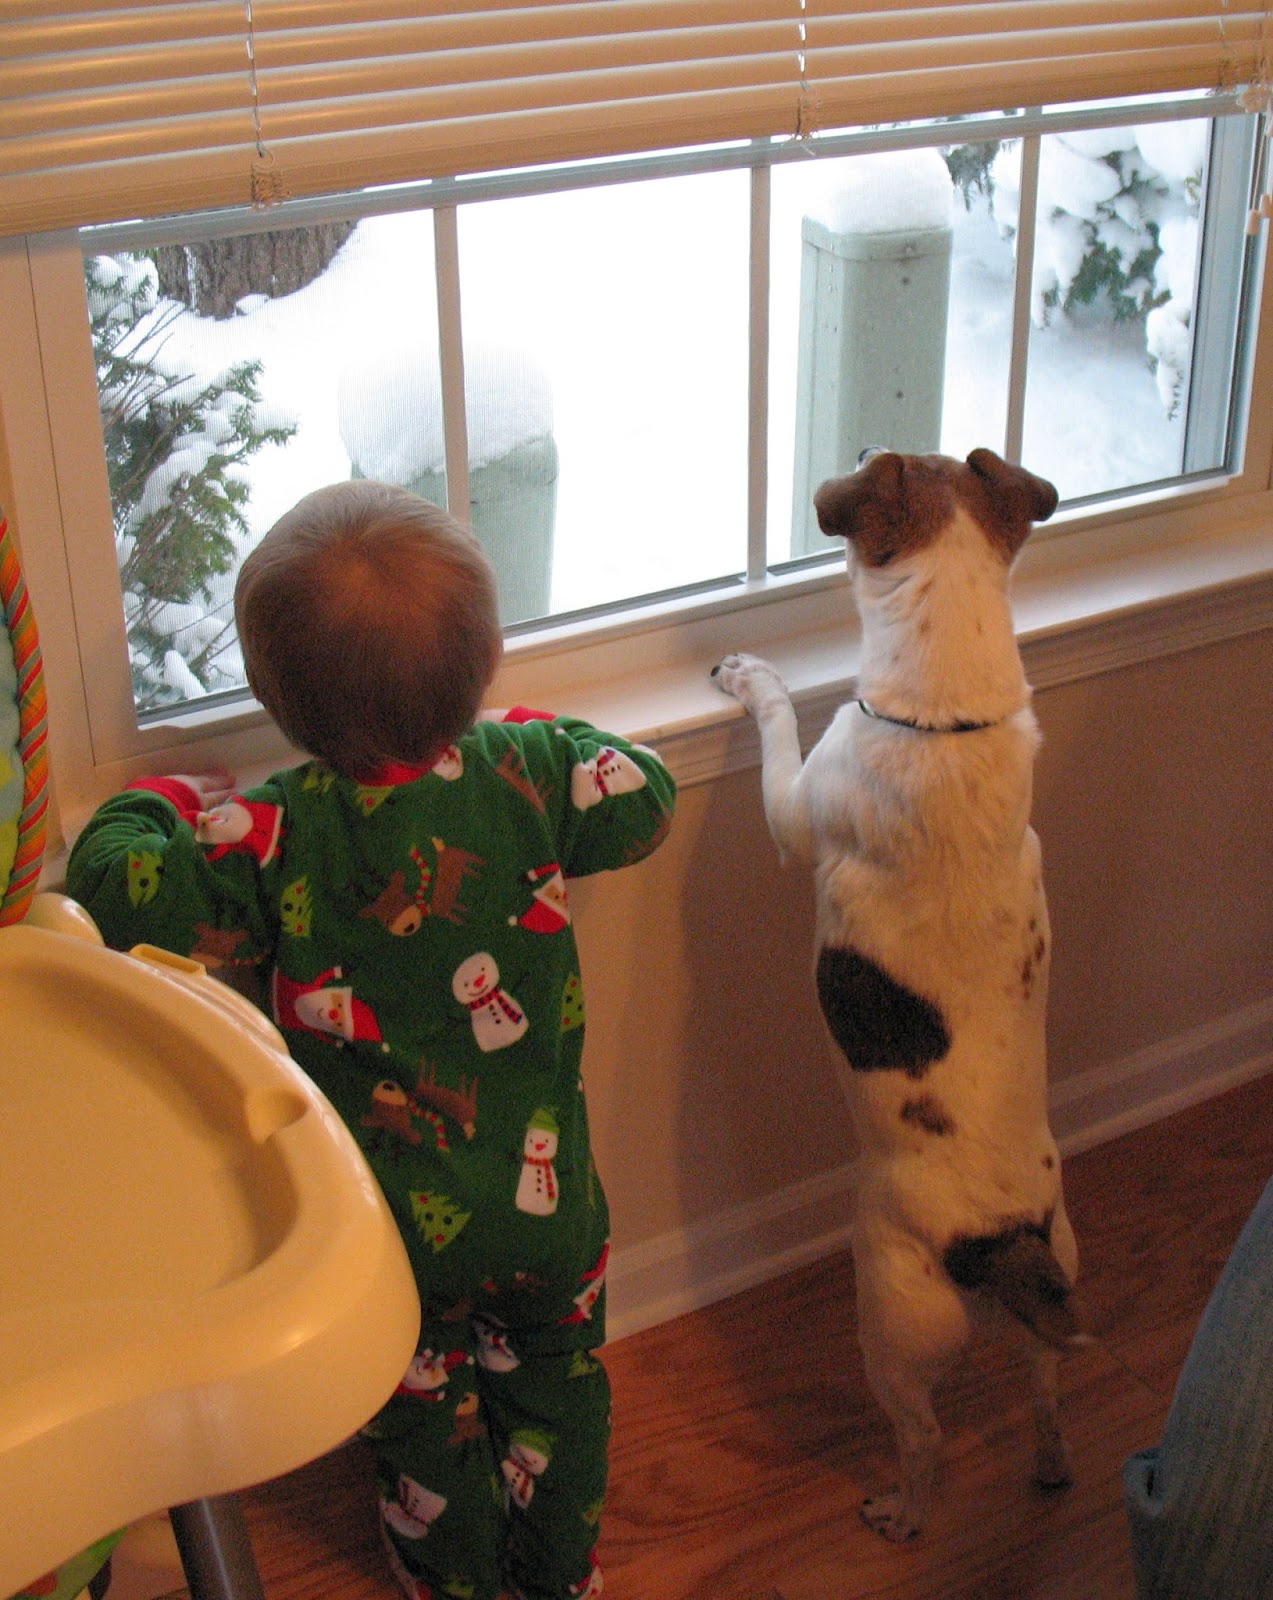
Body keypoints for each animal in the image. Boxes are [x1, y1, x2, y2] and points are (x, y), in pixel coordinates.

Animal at [713, 447, 1086, 1542]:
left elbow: (776, 725)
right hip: (1054, 1277)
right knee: (1045, 1385)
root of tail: (1003, 1239)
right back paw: (1049, 1462)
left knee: (923, 1439)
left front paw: (750, 677)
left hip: (889, 1312)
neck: (943, 720)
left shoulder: (793, 809)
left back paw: (897, 1512)